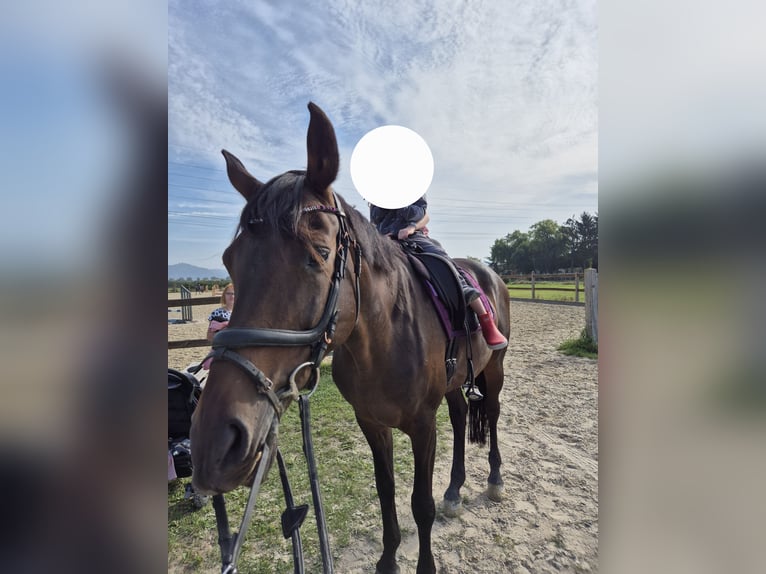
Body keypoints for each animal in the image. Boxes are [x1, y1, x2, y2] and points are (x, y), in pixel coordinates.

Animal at [191, 102, 510, 574]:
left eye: (319, 255)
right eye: (231, 260)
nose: (215, 443)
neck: (383, 340)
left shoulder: (421, 424)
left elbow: (420, 504)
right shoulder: (371, 422)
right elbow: (386, 492)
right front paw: (388, 560)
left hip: (495, 369)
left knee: (492, 411)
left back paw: (494, 479)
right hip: (456, 383)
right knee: (459, 417)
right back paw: (454, 490)